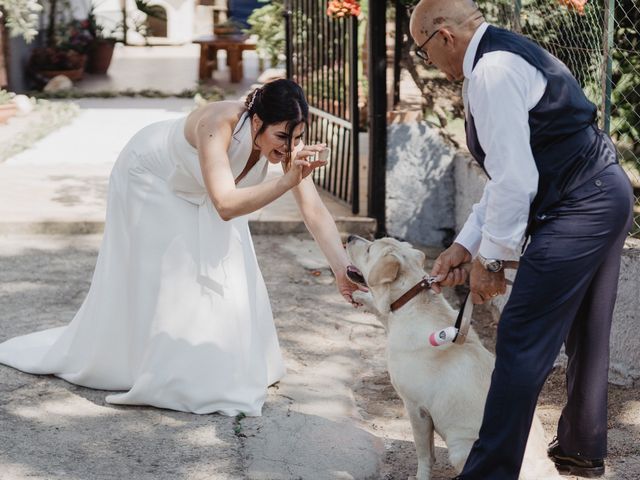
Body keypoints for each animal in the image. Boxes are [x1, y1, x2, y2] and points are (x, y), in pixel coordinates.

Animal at [344, 235, 560, 480]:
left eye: (370, 249)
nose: (349, 237)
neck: (410, 302)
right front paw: (360, 295)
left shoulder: (416, 408)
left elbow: (423, 452)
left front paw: (420, 476)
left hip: (459, 447)